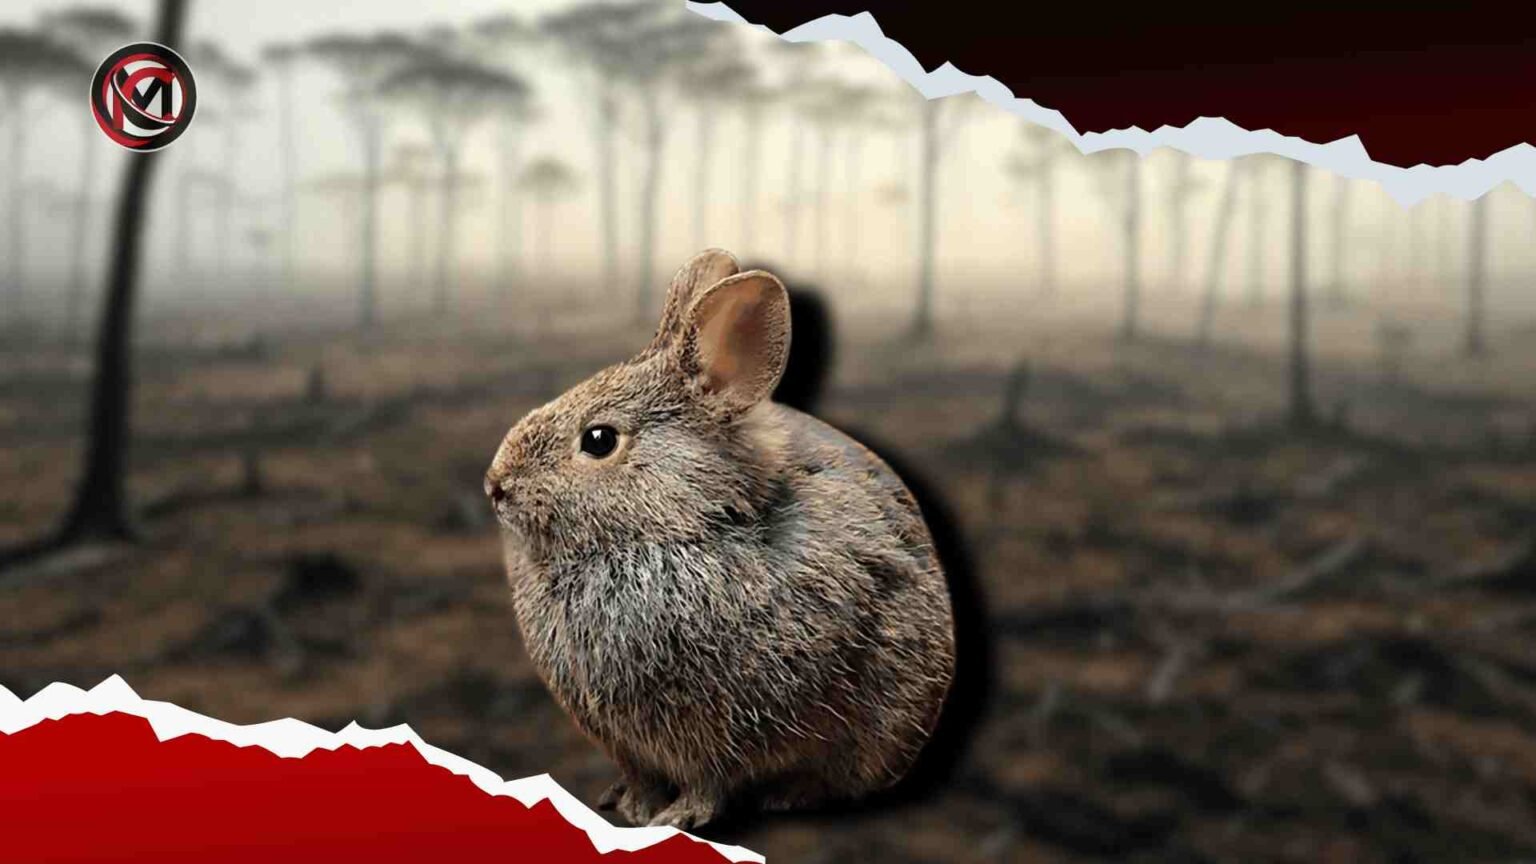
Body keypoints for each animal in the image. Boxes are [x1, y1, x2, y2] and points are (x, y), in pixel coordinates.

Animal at [485, 248, 955, 830]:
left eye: (598, 440)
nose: (496, 485)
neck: (679, 526)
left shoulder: (720, 726)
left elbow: (710, 780)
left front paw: (671, 818)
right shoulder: (621, 737)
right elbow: (640, 772)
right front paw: (630, 803)